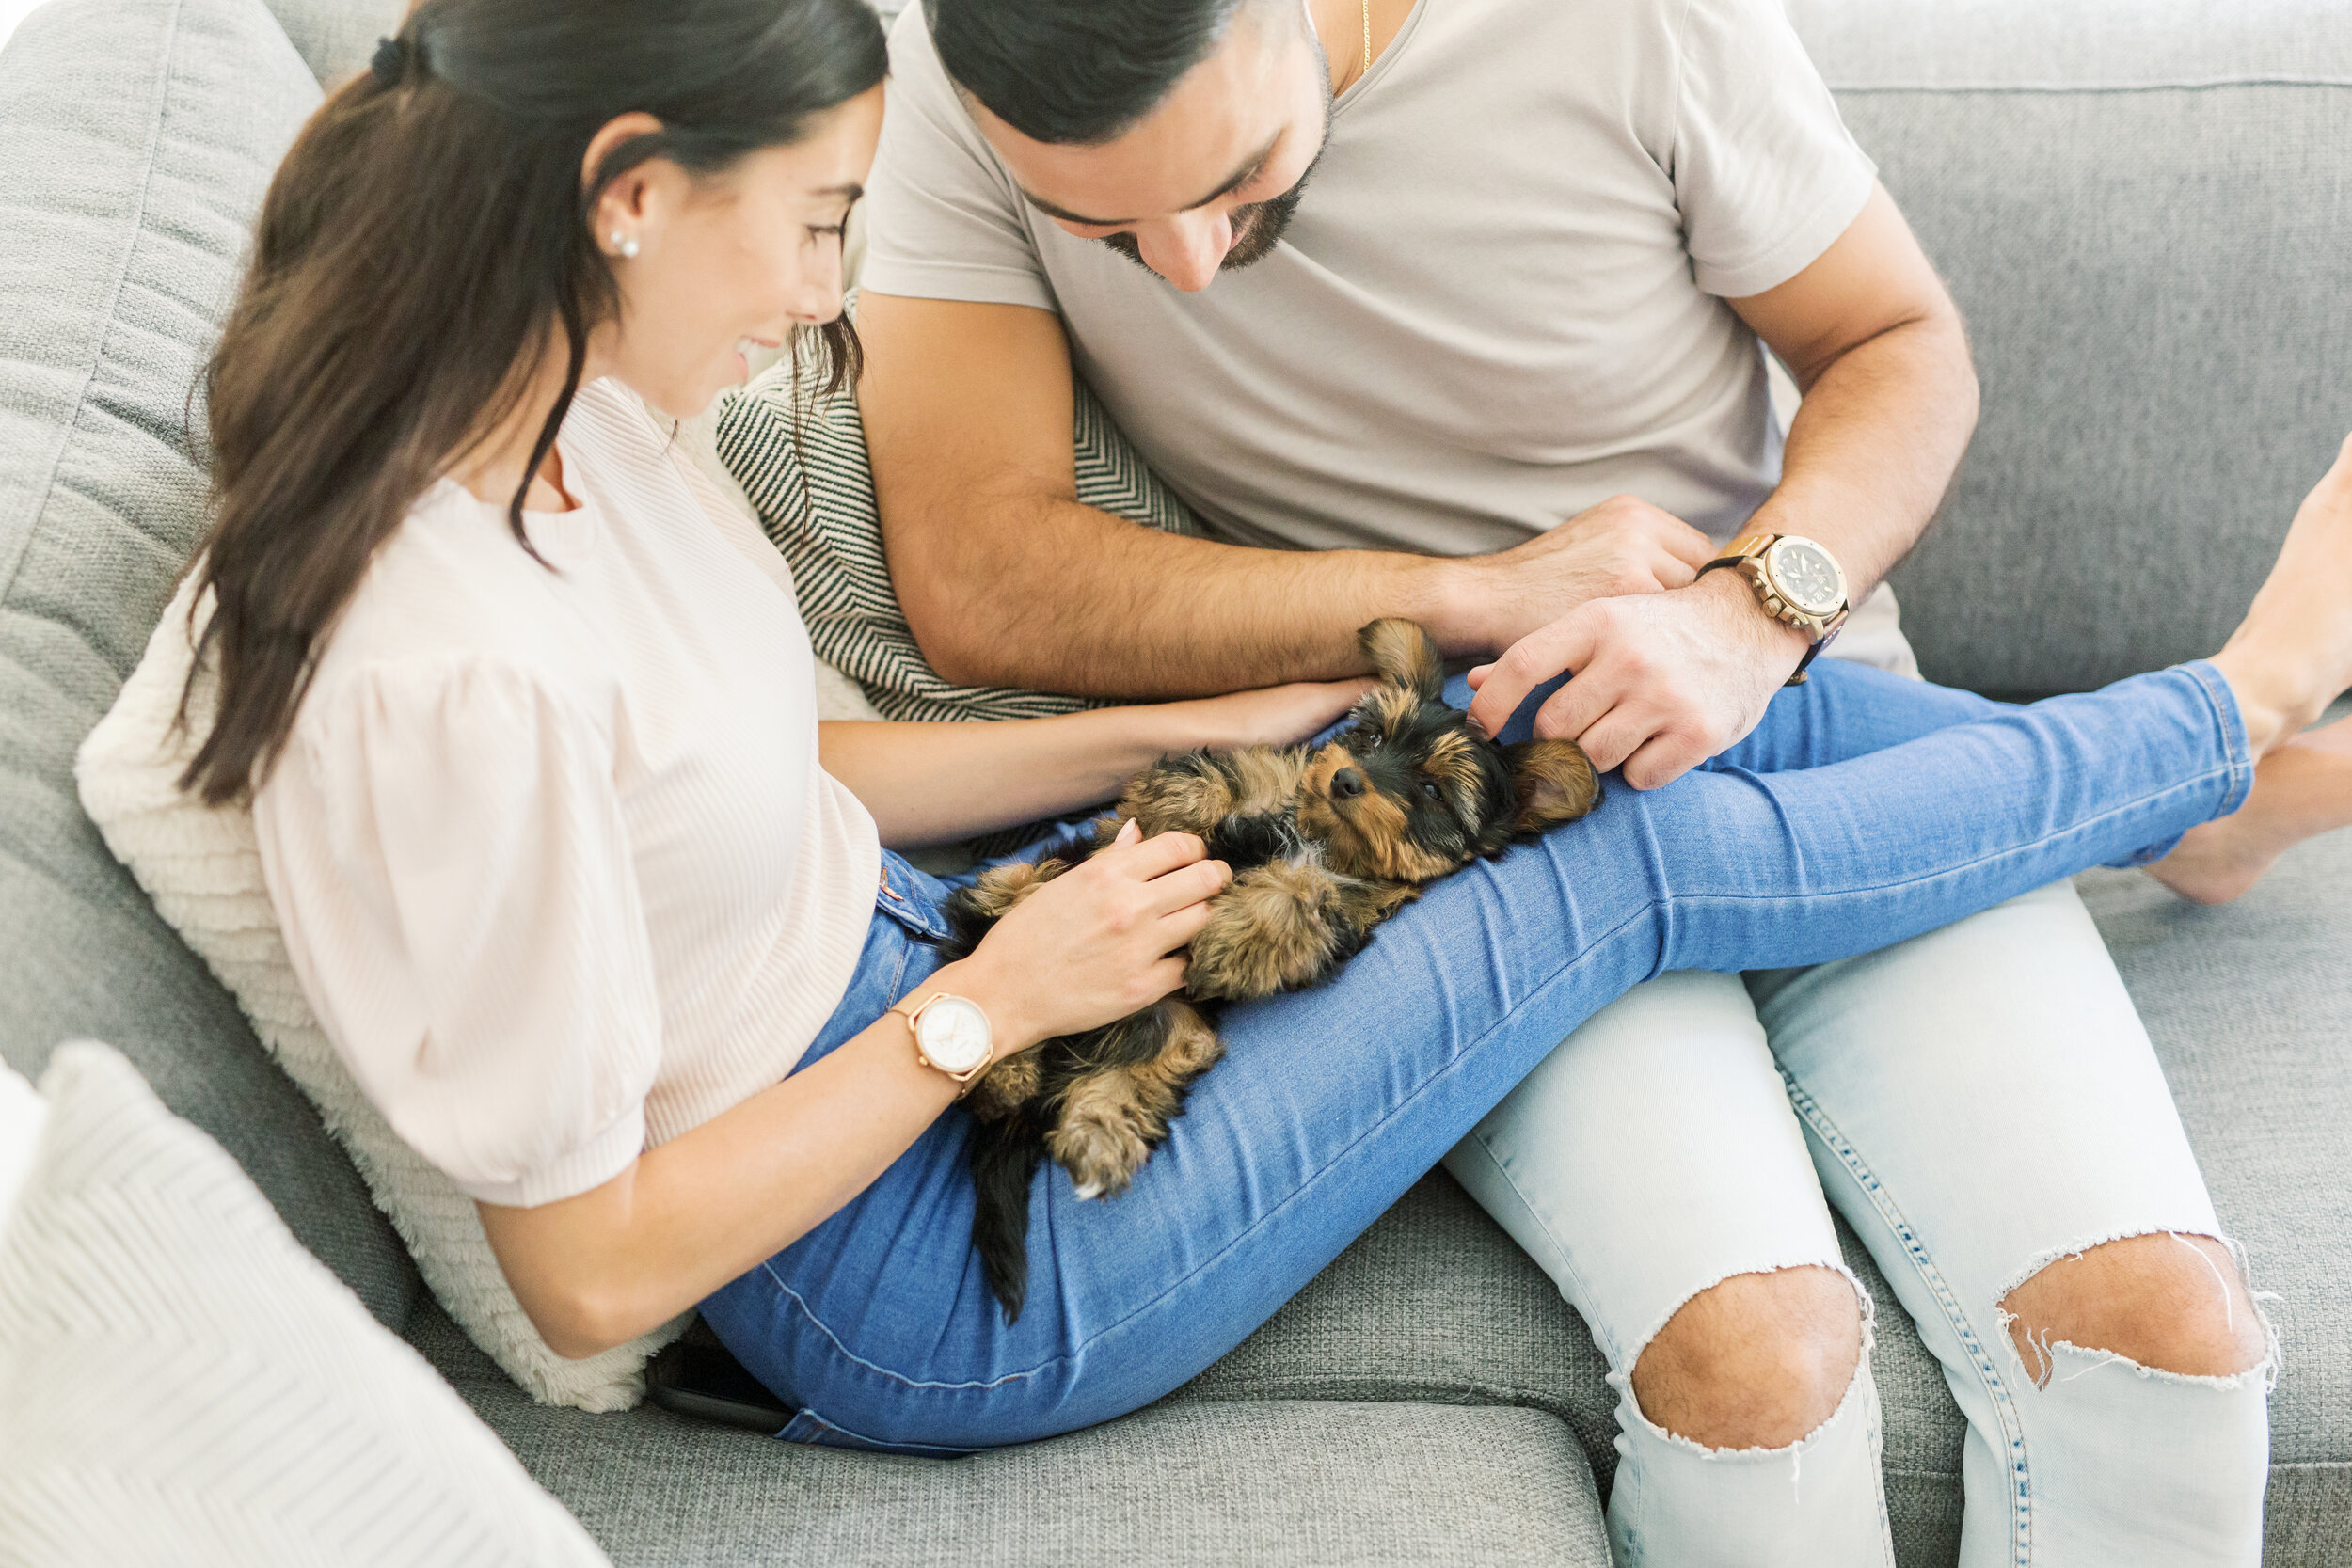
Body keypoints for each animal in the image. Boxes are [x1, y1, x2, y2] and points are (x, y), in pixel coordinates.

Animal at [936, 620, 1599, 1316]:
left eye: (1430, 791)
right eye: (1370, 737)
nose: (1345, 780)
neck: (1322, 836)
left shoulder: (1350, 904)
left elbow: (1302, 897)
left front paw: (1228, 939)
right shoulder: (1264, 775)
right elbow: (1211, 774)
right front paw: (1180, 812)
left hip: (1175, 1028)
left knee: (1133, 1070)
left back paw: (1097, 1135)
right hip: (1031, 888)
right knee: (1002, 915)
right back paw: (1006, 1065)